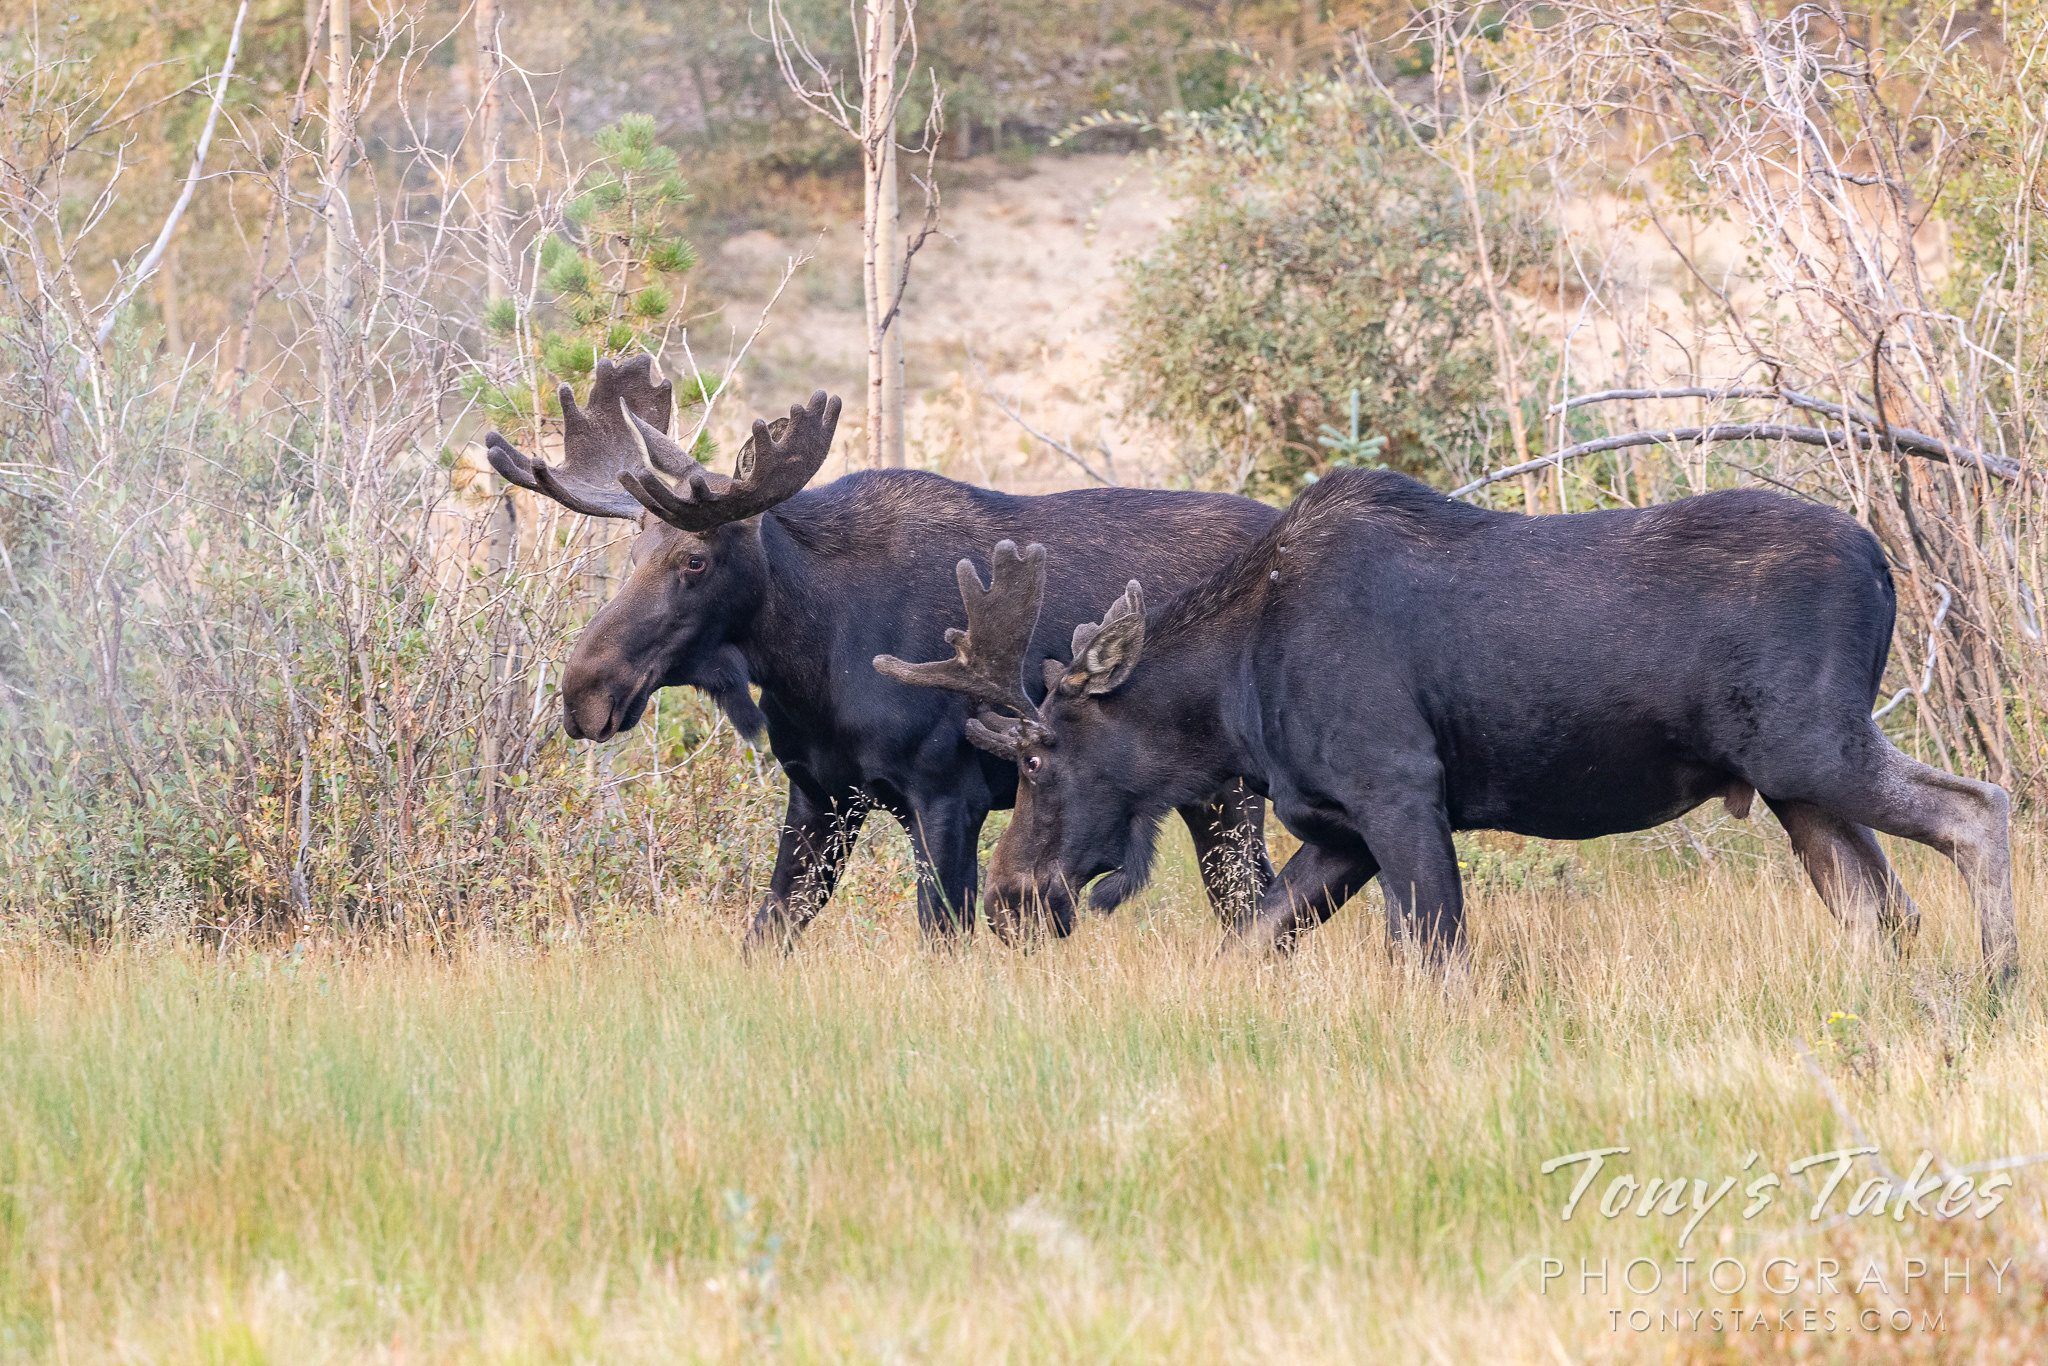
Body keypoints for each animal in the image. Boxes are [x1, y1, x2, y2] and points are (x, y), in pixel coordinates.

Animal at [483, 358, 1277, 946]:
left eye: (695, 560)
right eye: (633, 552)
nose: (584, 692)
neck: (811, 663)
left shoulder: (947, 796)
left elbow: (943, 937)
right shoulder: (820, 795)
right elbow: (768, 930)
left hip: (1232, 791)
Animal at [880, 471, 2015, 983]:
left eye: (1037, 754)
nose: (1009, 900)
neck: (1232, 698)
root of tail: (1885, 568)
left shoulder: (1399, 789)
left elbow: (1438, 954)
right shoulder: (1338, 825)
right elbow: (1253, 939)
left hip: (1811, 742)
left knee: (1978, 807)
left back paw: (2001, 979)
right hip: (1791, 786)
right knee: (1881, 908)